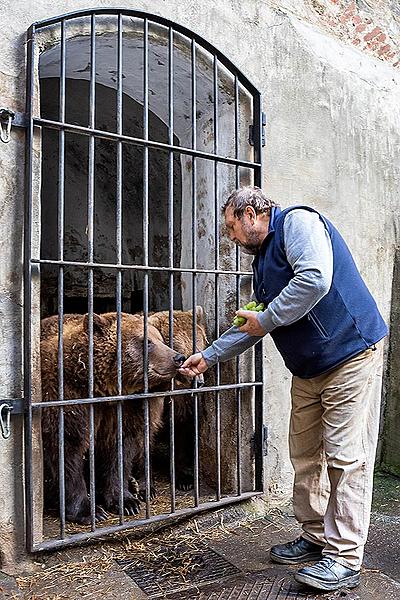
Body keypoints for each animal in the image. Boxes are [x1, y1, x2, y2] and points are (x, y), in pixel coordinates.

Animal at [40, 312, 188, 524]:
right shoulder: (65, 397)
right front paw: (90, 511)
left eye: (160, 338)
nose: (178, 357)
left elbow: (120, 450)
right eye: (147, 341)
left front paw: (126, 502)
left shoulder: (126, 408)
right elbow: (67, 450)